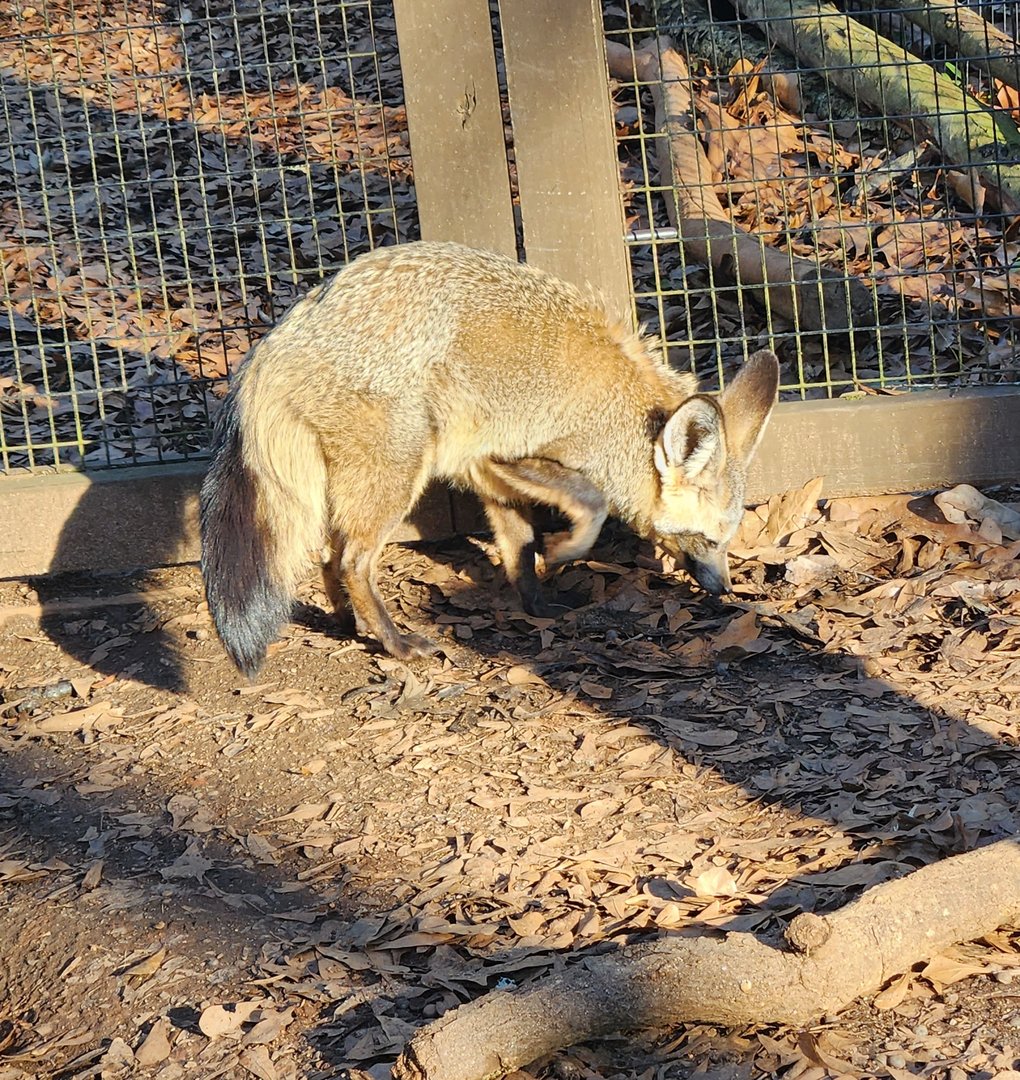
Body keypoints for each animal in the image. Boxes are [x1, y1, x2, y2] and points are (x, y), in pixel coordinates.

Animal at [200, 241, 780, 675]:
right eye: (707, 540)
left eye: (728, 540)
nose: (726, 589)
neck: (618, 413)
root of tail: (272, 344)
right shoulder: (503, 455)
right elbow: (591, 504)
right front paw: (565, 551)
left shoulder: (484, 468)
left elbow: (518, 547)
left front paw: (538, 605)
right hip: (400, 473)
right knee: (350, 561)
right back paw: (395, 642)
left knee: (327, 557)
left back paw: (351, 626)